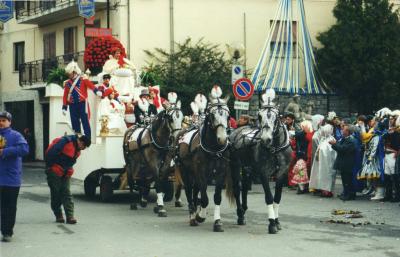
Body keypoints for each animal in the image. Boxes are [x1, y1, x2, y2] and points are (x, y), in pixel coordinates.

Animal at [228, 89, 290, 233]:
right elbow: (269, 197)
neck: (275, 148)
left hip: (247, 169)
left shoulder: (282, 174)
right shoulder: (263, 174)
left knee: (245, 187)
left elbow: (277, 198)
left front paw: (277, 221)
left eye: (276, 117)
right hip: (235, 166)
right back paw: (240, 214)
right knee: (237, 189)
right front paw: (272, 223)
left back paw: (244, 210)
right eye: (260, 116)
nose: (266, 139)